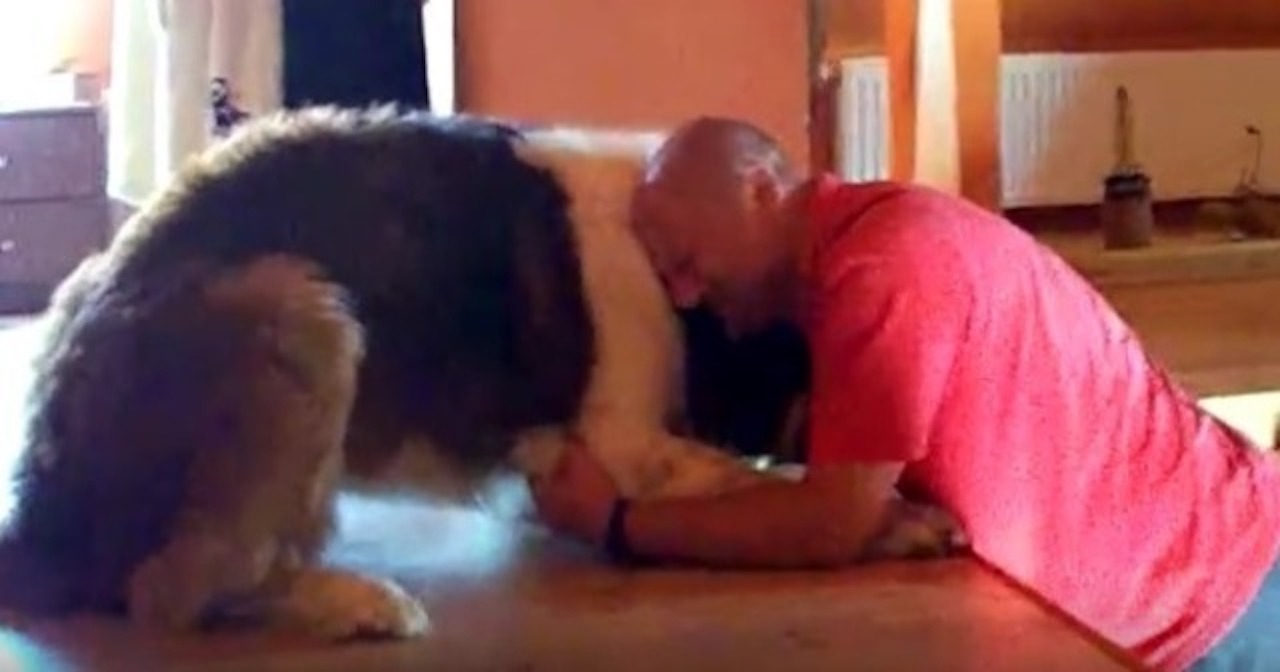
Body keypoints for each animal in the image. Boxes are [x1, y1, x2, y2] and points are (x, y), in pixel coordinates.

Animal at [0, 106, 960, 639]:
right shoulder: (626, 441)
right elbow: (759, 483)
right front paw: (903, 519)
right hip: (298, 301)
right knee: (177, 584)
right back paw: (353, 603)